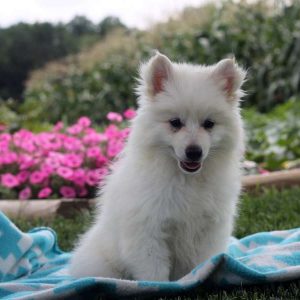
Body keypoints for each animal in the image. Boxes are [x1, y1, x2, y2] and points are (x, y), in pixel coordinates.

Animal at [69, 52, 246, 282]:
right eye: (175, 122)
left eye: (209, 124)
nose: (194, 152)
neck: (186, 179)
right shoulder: (147, 231)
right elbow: (154, 272)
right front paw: (159, 287)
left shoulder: (208, 230)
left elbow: (202, 263)